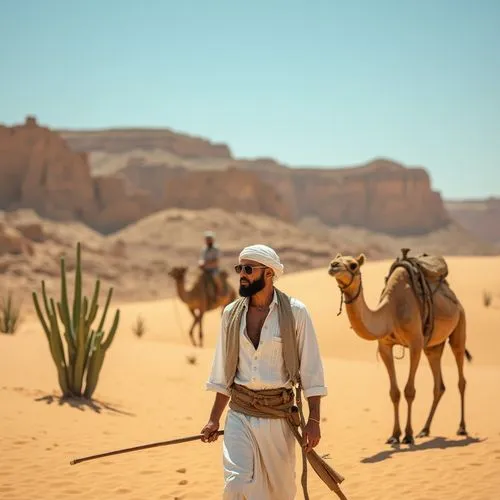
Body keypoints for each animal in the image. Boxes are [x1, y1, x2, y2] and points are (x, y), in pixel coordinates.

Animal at [326, 250, 470, 446]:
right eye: (335, 259)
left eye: (354, 265)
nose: (333, 266)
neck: (391, 312)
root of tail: (457, 301)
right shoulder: (385, 346)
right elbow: (394, 392)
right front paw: (394, 435)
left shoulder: (415, 343)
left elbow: (409, 391)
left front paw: (408, 435)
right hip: (433, 346)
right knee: (438, 385)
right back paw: (424, 430)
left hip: (459, 325)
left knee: (461, 377)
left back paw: (461, 428)